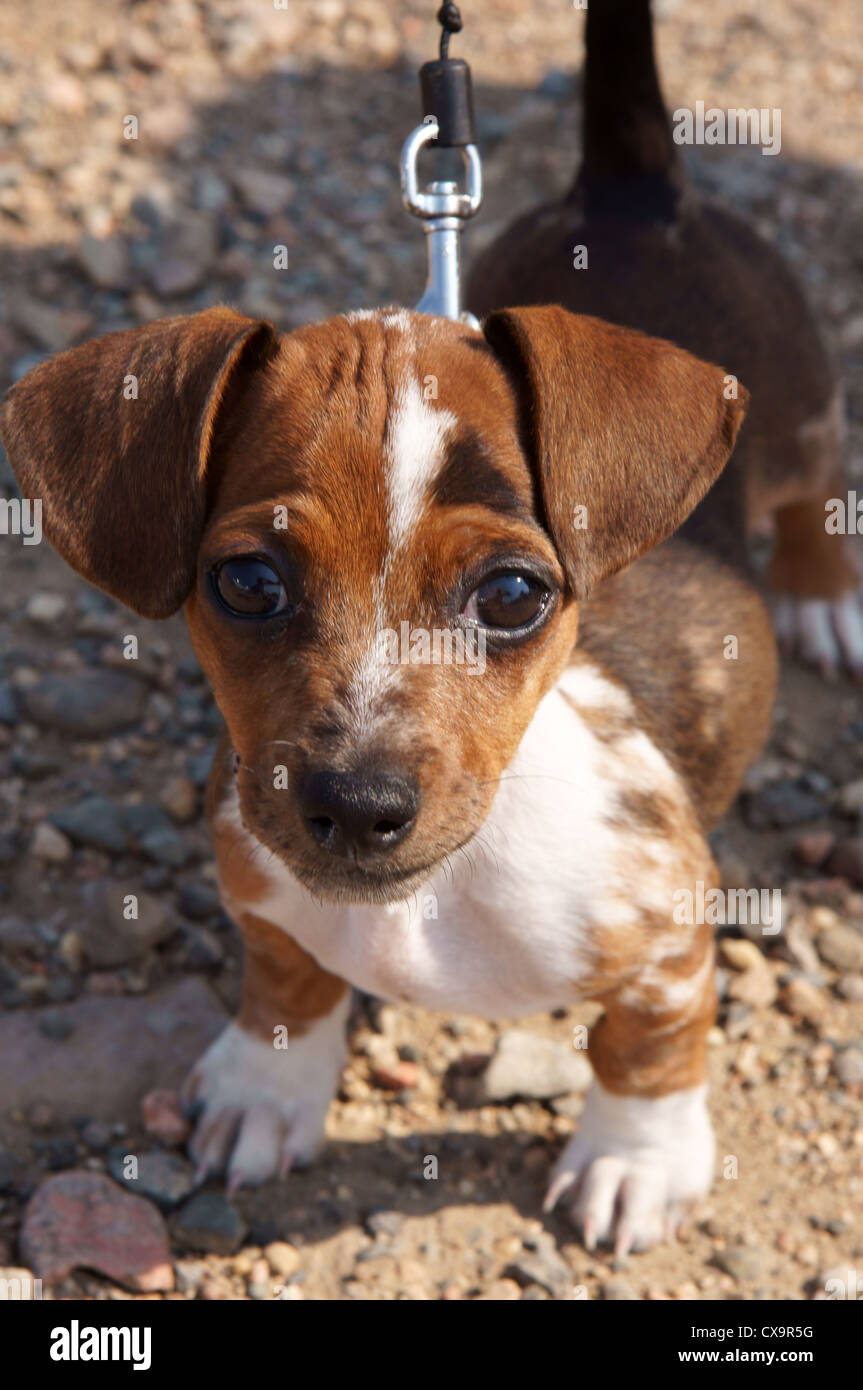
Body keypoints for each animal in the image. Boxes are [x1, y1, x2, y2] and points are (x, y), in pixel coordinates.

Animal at [1, 301, 778, 1251]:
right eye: (248, 581)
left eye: (513, 595)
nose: (357, 805)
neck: (434, 894)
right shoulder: (260, 889)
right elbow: (288, 981)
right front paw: (266, 1089)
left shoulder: (667, 929)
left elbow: (649, 1045)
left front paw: (635, 1161)